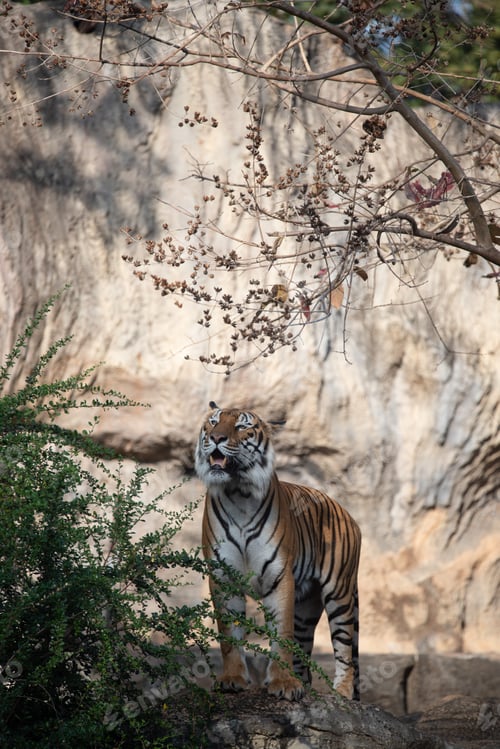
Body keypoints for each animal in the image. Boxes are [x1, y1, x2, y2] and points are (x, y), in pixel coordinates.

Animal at [195, 402, 362, 701]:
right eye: (213, 422)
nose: (216, 438)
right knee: (305, 655)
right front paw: (232, 679)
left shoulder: (279, 575)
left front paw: (283, 683)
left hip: (339, 593)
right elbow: (229, 635)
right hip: (306, 609)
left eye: (241, 426)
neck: (238, 493)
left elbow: (281, 635)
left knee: (344, 650)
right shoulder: (224, 577)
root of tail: (347, 513)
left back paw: (341, 693)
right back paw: (305, 686)